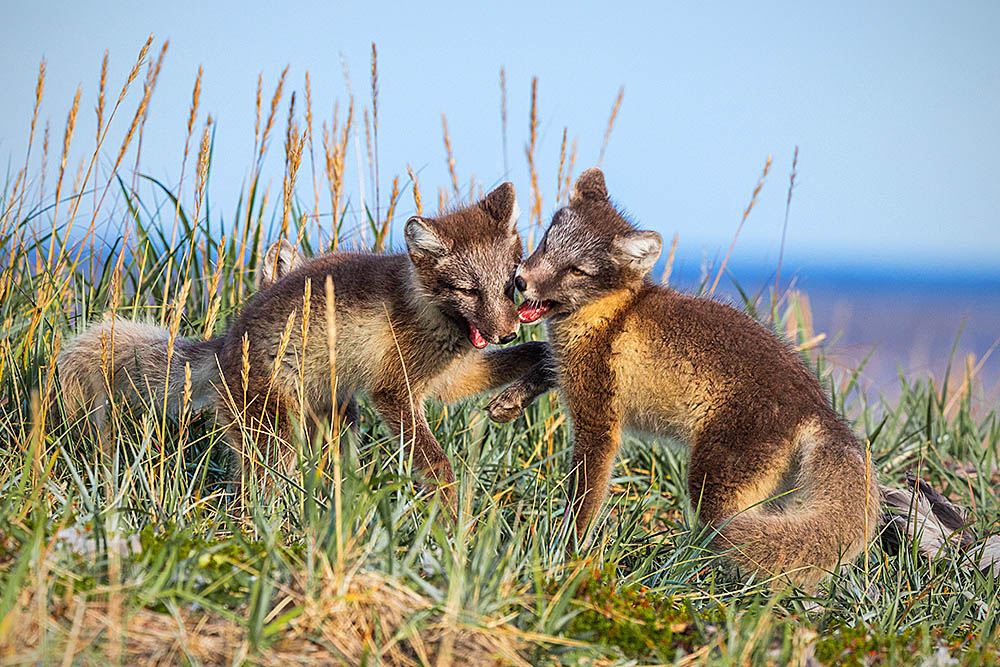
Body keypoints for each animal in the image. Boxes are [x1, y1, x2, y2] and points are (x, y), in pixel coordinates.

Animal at [58, 183, 552, 500]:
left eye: (509, 284)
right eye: (468, 291)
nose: (507, 331)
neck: (428, 310)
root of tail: (226, 342)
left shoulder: (450, 380)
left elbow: (521, 360)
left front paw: (540, 368)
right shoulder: (395, 392)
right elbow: (438, 467)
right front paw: (450, 528)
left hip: (335, 424)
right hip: (278, 440)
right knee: (251, 497)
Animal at [490, 168, 876, 588]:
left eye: (577, 271)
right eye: (546, 243)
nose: (520, 281)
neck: (612, 313)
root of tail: (819, 406)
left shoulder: (598, 424)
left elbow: (583, 501)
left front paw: (563, 555)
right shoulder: (570, 368)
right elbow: (545, 362)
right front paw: (509, 401)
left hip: (712, 482)